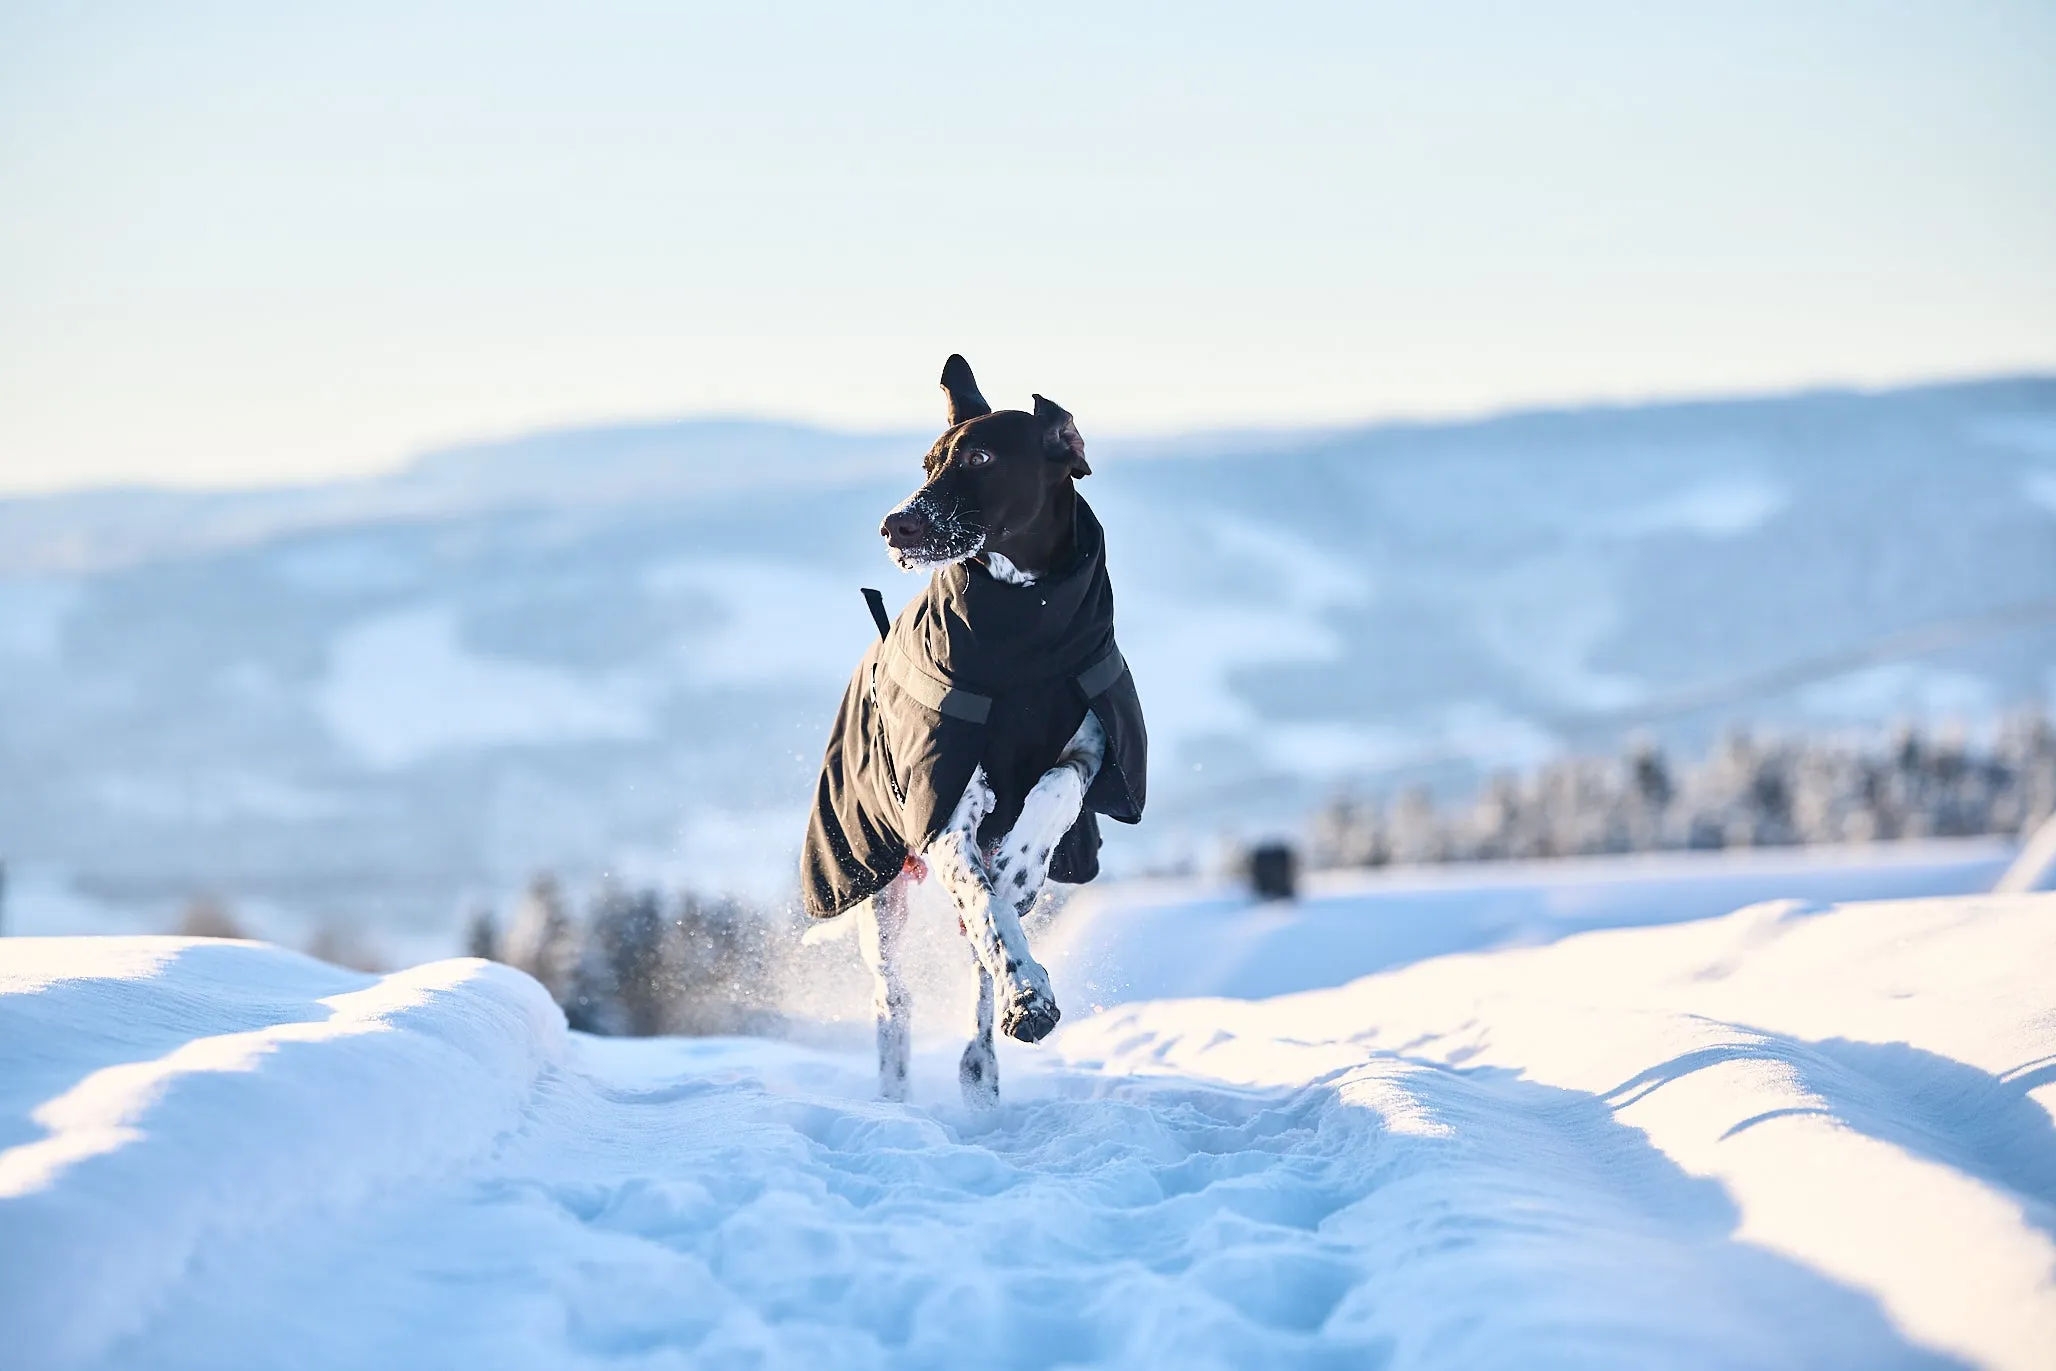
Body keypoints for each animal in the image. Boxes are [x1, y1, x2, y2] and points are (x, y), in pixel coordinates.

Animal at [797, 351, 1151, 1101]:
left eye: (982, 457)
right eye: (929, 462)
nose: (895, 525)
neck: (1025, 628)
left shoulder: (1089, 748)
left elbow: (1053, 793)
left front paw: (1023, 862)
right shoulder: (946, 807)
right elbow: (989, 910)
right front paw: (1029, 991)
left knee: (975, 971)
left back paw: (982, 1059)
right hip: (880, 899)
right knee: (896, 1000)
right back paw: (903, 1095)